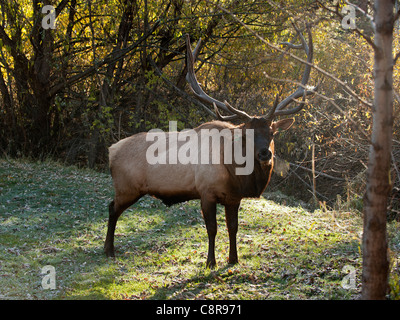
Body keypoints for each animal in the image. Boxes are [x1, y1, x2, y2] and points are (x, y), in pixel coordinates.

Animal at [104, 26, 318, 268]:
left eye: (272, 133)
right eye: (246, 133)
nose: (265, 153)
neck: (235, 174)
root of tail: (111, 150)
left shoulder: (234, 198)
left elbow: (233, 228)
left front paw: (233, 259)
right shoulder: (206, 191)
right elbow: (212, 230)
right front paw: (210, 262)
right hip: (126, 187)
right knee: (112, 208)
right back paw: (109, 250)